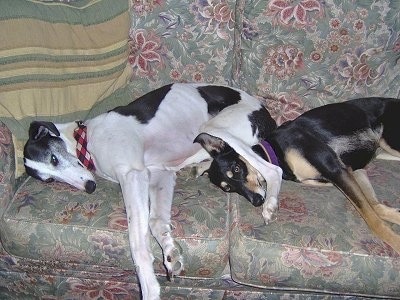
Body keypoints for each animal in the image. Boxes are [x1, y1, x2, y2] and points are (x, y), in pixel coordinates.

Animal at [23, 82, 282, 300]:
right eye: (49, 180)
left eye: (53, 158)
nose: (90, 187)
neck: (87, 140)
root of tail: (265, 112)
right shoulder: (160, 174)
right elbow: (157, 221)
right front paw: (170, 254)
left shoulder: (133, 175)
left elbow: (138, 245)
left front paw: (149, 287)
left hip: (217, 128)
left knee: (274, 170)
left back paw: (269, 204)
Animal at [195, 98, 400, 253]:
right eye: (229, 188)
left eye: (236, 169)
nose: (257, 201)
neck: (277, 152)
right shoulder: (351, 172)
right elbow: (375, 207)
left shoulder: (335, 170)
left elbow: (373, 220)